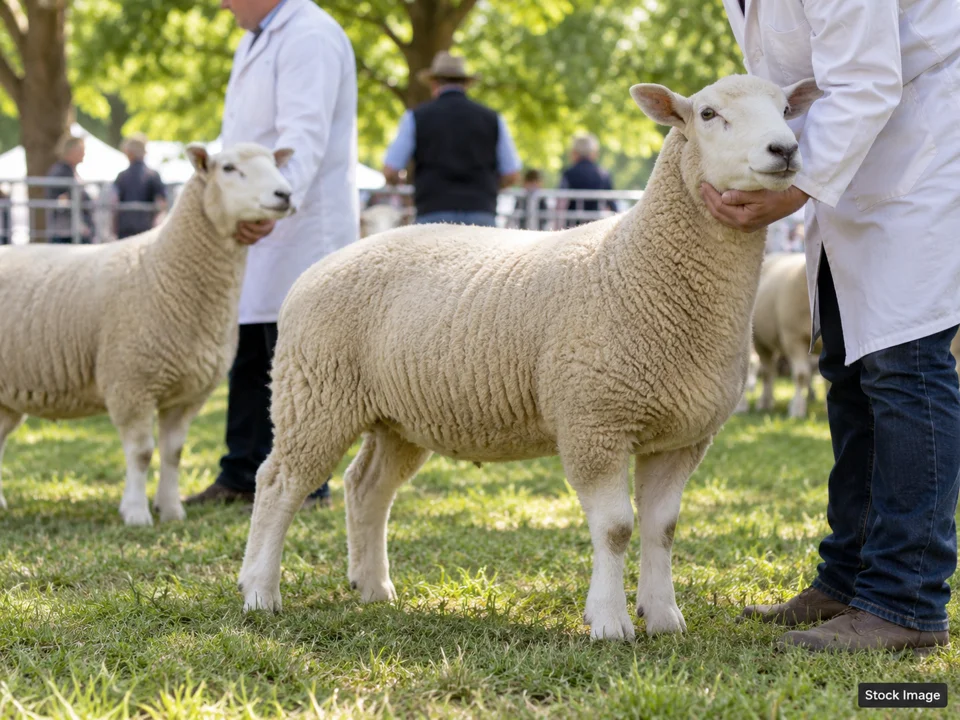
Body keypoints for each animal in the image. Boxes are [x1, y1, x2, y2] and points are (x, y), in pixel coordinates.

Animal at [0, 143, 295, 525]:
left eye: (275, 163)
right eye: (228, 168)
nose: (285, 194)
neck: (163, 267)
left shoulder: (187, 393)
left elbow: (173, 453)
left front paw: (171, 510)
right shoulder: (131, 383)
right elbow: (141, 453)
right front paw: (137, 513)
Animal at [751, 252, 822, 418]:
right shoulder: (793, 339)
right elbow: (801, 375)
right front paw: (797, 409)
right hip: (760, 342)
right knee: (768, 372)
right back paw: (765, 401)